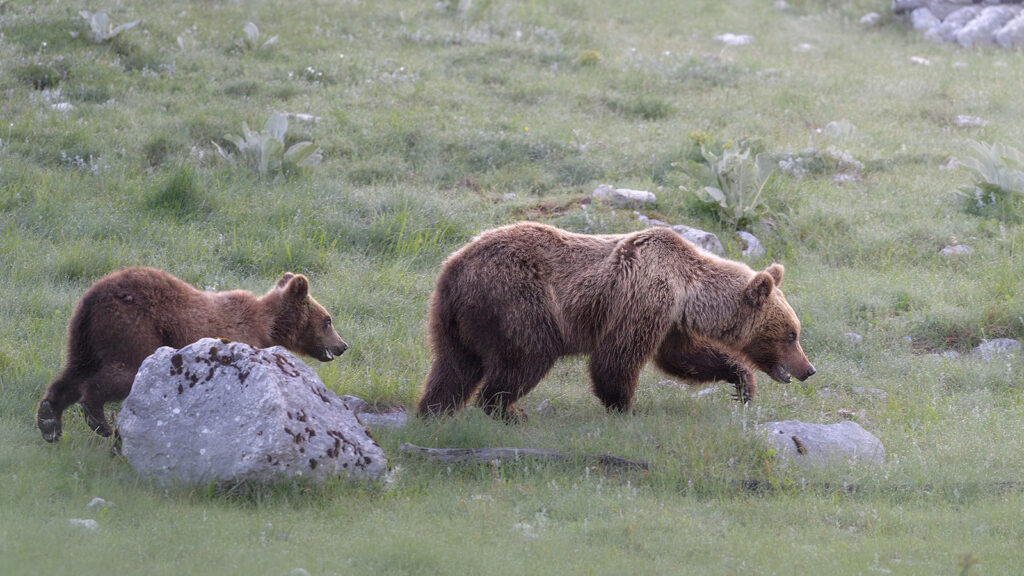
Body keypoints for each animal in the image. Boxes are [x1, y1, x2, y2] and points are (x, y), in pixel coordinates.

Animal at [36, 268, 348, 438]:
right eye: (328, 320)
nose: (342, 345)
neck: (268, 327)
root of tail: (95, 293)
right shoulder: (240, 339)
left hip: (84, 334)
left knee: (72, 373)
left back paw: (49, 420)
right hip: (133, 325)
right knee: (121, 373)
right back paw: (100, 421)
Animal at [415, 222, 815, 420]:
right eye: (791, 334)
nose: (808, 369)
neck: (688, 292)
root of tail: (453, 266)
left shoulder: (671, 321)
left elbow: (683, 358)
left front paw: (741, 381)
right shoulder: (646, 298)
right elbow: (616, 358)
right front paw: (626, 408)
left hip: (452, 319)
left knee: (452, 369)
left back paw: (434, 413)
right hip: (517, 300)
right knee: (526, 356)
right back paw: (508, 410)